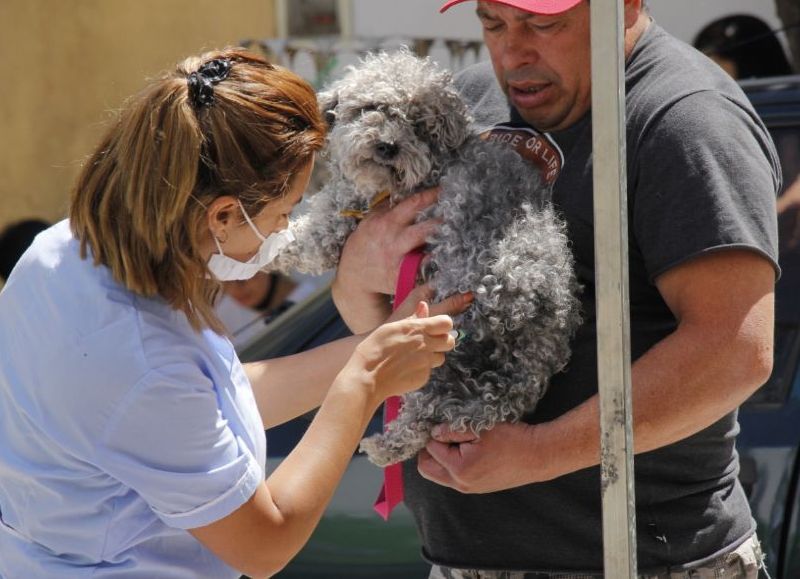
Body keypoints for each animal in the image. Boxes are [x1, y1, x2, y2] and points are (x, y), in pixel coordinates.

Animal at [276, 48, 580, 466]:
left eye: (419, 125)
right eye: (371, 107)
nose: (388, 146)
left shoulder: (371, 206)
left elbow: (325, 220)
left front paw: (275, 246)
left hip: (447, 337)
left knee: (426, 407)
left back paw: (386, 445)